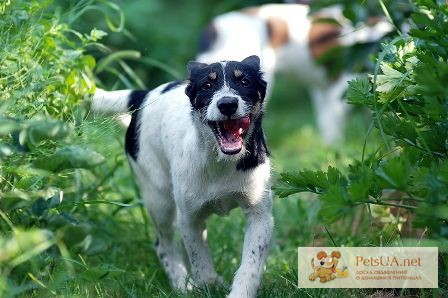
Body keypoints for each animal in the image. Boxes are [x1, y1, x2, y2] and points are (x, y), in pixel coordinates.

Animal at [91, 55, 272, 296]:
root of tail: (145, 95)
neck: (221, 162)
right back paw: (181, 285)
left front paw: (238, 292)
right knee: (164, 245)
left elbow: (251, 264)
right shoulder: (190, 217)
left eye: (244, 82)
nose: (227, 104)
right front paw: (207, 285)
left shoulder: (260, 214)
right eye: (207, 85)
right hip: (160, 200)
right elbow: (200, 261)